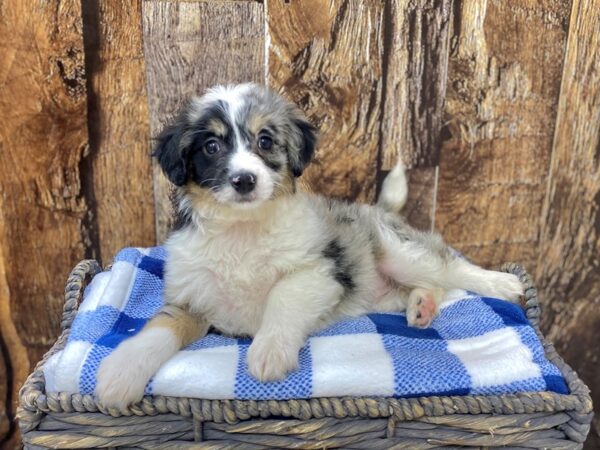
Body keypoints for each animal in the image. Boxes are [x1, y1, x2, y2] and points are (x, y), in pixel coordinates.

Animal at [96, 83, 524, 408]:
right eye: (212, 147)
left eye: (265, 141)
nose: (245, 180)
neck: (243, 231)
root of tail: (378, 209)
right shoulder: (190, 297)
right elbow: (158, 328)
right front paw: (120, 373)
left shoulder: (318, 271)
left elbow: (282, 297)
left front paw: (269, 353)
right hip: (384, 291)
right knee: (428, 285)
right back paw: (422, 307)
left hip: (399, 250)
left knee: (448, 266)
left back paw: (501, 284)